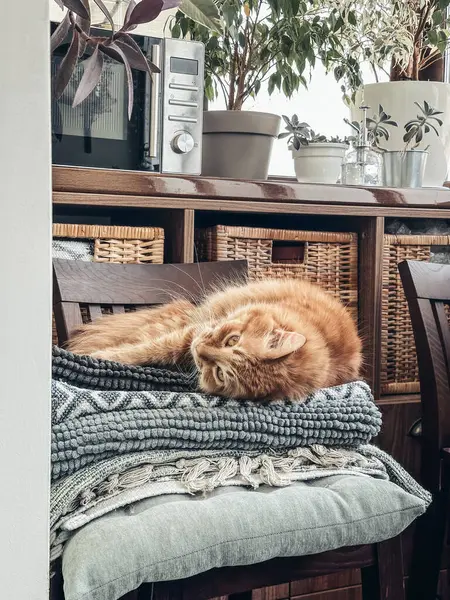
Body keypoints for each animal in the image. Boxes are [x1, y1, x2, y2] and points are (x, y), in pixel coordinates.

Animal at [67, 278, 362, 400]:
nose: (200, 350)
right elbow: (143, 349)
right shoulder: (193, 330)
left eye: (220, 373)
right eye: (232, 340)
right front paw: (98, 356)